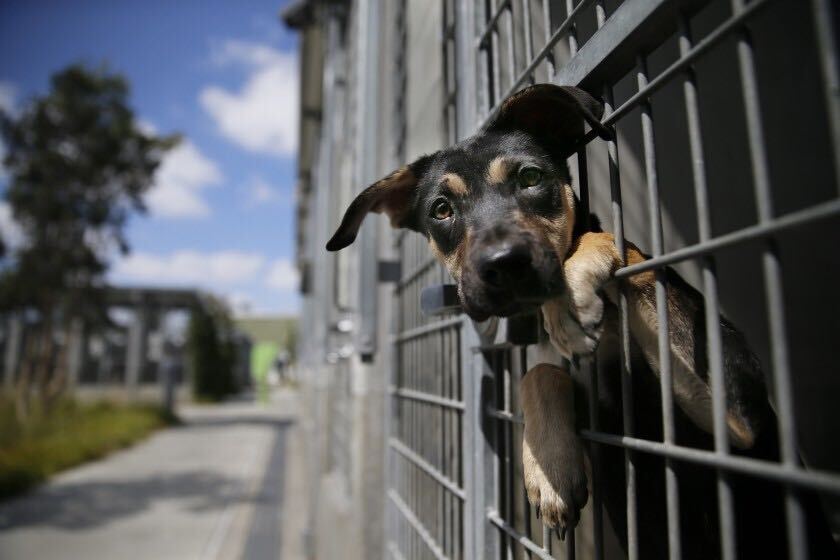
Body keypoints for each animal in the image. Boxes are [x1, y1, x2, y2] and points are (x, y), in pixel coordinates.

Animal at [322, 84, 832, 560]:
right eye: (441, 209)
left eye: (530, 177)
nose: (504, 264)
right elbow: (541, 371)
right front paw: (548, 467)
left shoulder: (737, 421)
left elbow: (623, 249)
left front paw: (572, 290)